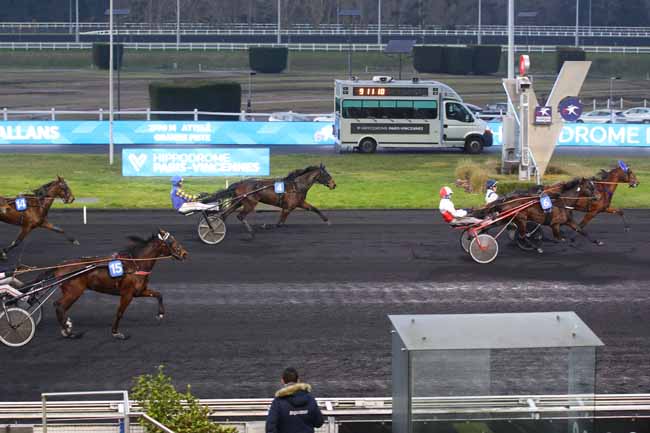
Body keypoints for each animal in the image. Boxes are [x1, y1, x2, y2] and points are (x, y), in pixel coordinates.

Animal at [42, 228, 187, 340]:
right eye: (172, 241)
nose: (185, 253)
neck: (136, 264)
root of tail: (60, 266)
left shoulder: (139, 291)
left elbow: (159, 294)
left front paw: (160, 314)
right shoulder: (127, 294)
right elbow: (120, 312)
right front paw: (116, 333)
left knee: (58, 305)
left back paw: (67, 326)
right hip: (74, 291)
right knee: (60, 306)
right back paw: (69, 332)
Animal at [204, 163, 336, 236]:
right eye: (327, 175)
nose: (334, 185)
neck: (296, 186)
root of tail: (239, 184)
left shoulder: (300, 203)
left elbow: (314, 209)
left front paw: (327, 221)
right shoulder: (287, 208)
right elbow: (279, 224)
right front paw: (266, 226)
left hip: (238, 202)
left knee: (225, 214)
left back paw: (218, 227)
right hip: (250, 203)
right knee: (240, 216)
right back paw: (250, 231)